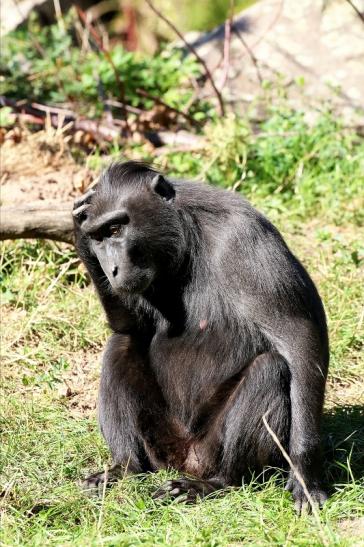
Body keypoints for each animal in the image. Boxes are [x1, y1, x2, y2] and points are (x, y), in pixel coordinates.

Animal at [72, 162, 328, 512]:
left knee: (270, 368)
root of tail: (185, 461)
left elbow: (298, 339)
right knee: (121, 344)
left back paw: (216, 483)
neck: (185, 235)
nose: (111, 270)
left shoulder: (243, 238)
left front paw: (305, 475)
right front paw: (77, 224)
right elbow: (132, 326)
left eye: (115, 229)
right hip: (160, 442)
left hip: (208, 450)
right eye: (97, 237)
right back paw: (126, 469)